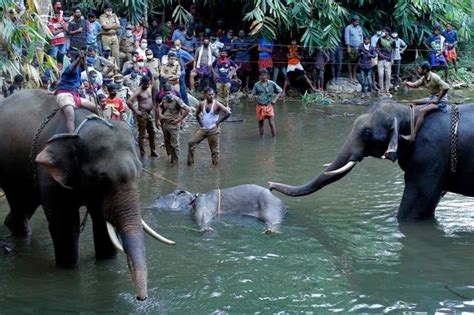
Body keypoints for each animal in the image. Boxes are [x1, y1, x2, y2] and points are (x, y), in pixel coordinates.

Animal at [0, 90, 174, 302]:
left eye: (140, 172)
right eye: (100, 178)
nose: (141, 298)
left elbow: (101, 222)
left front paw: (106, 262)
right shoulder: (48, 175)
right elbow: (66, 225)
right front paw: (68, 268)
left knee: (25, 203)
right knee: (18, 201)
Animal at [154, 184, 286, 233]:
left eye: (160, 197)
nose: (156, 197)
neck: (192, 199)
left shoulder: (203, 204)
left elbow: (203, 216)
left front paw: (206, 228)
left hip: (270, 206)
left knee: (273, 221)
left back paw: (270, 231)